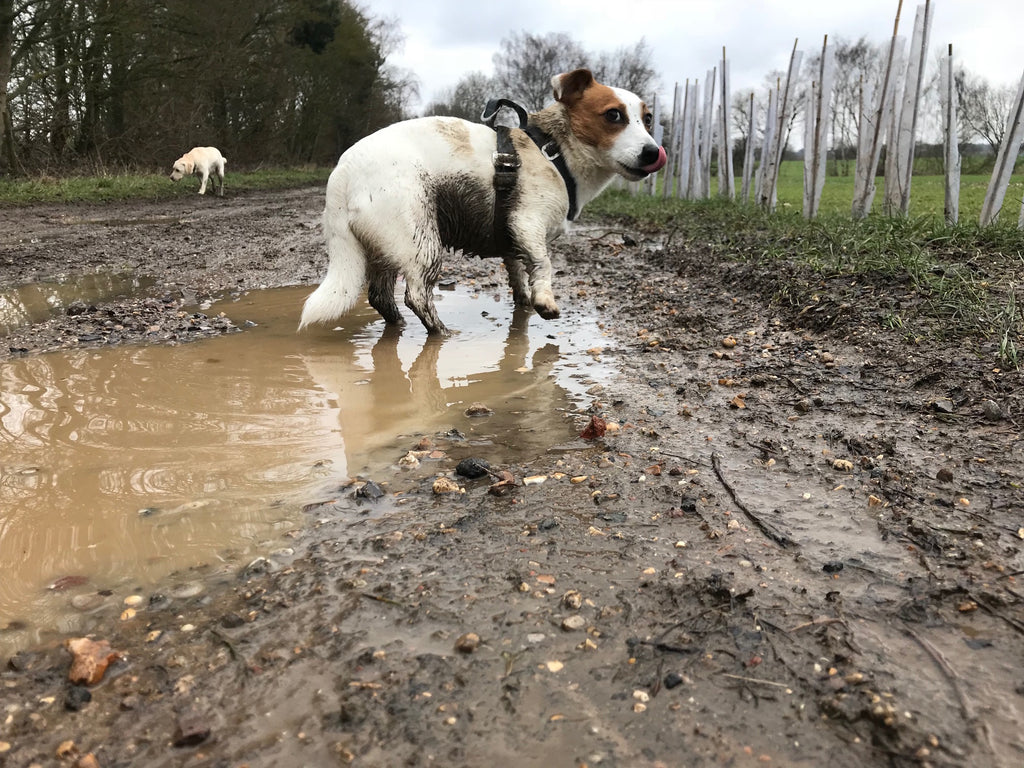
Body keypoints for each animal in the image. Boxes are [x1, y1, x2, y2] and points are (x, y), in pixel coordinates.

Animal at [299, 68, 663, 335]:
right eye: (613, 115)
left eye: (647, 119)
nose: (653, 152)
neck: (554, 151)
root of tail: (342, 174)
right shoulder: (528, 224)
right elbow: (544, 264)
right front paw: (545, 301)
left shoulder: (514, 239)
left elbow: (519, 276)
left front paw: (525, 303)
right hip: (421, 242)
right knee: (416, 296)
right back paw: (441, 332)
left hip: (384, 249)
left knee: (380, 297)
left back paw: (399, 327)